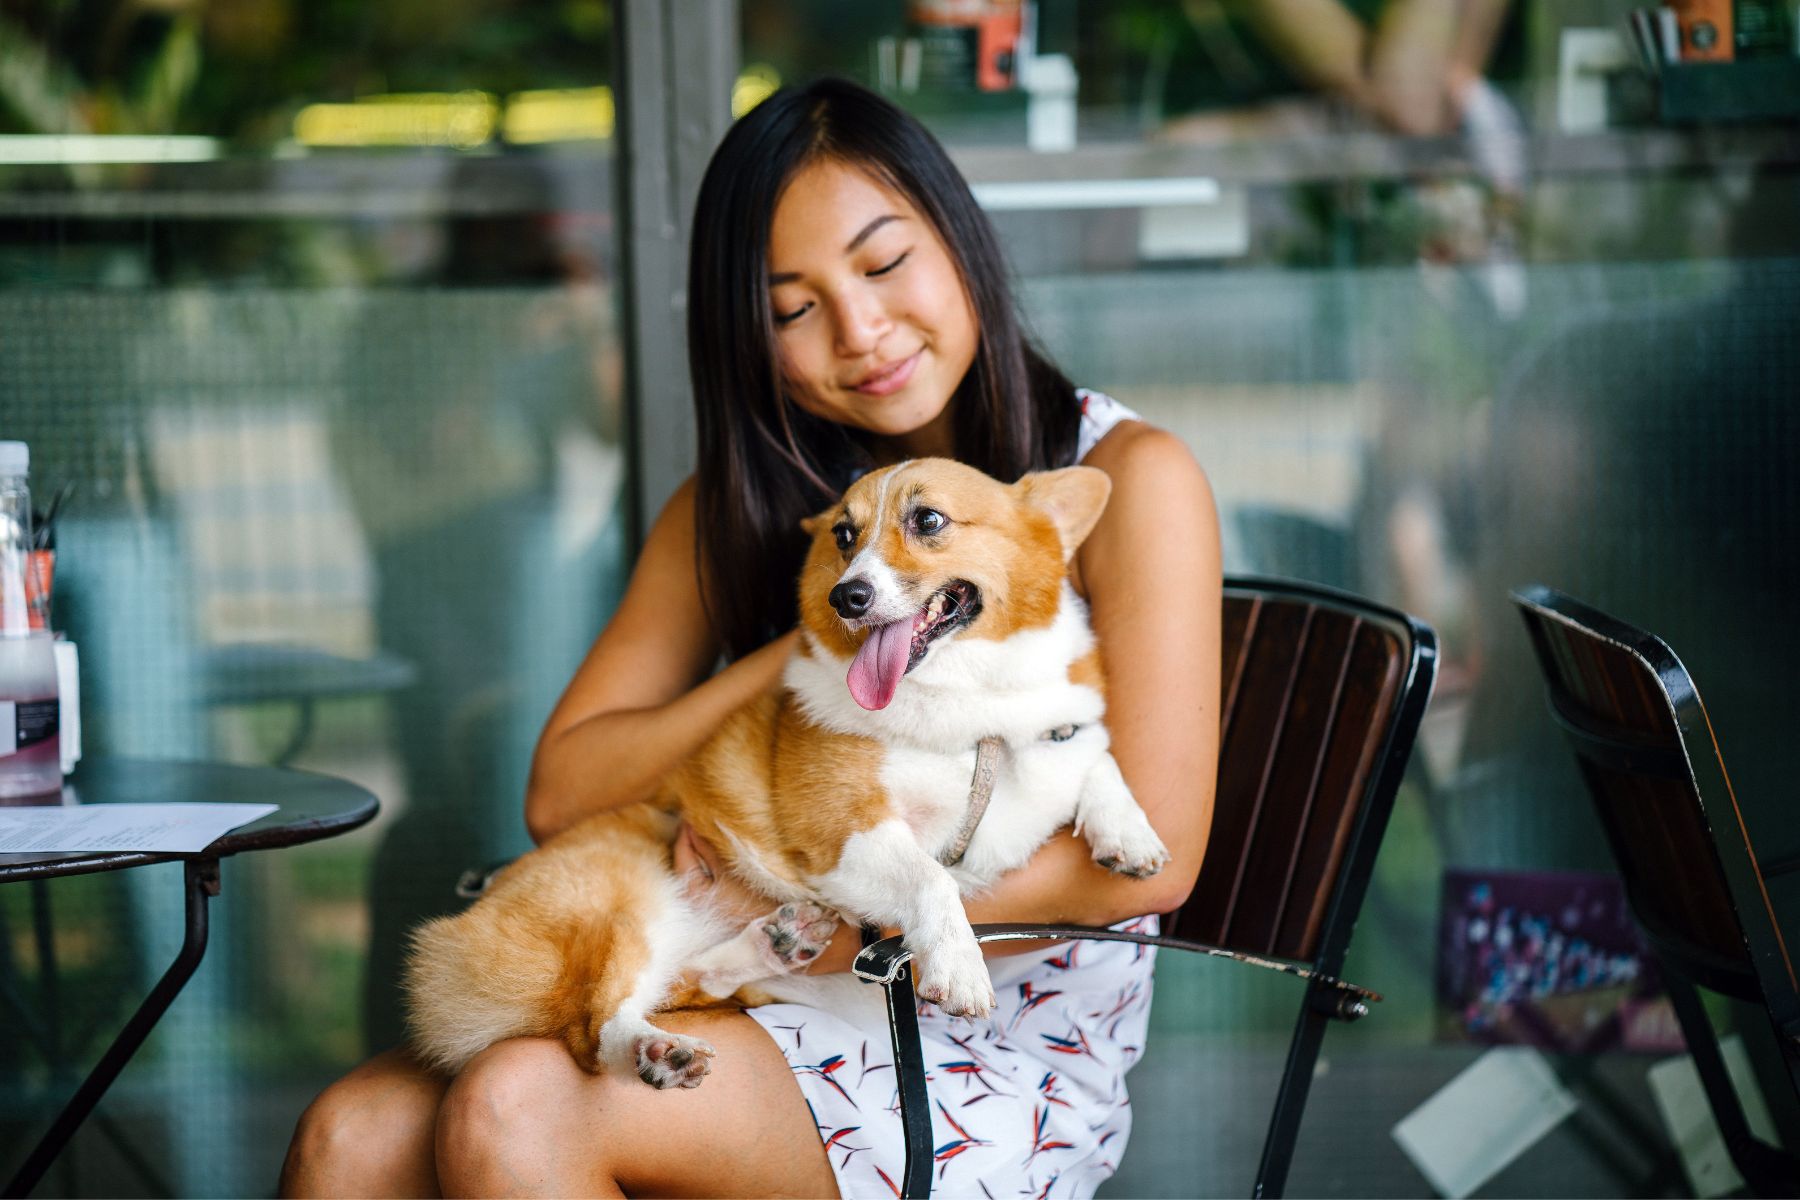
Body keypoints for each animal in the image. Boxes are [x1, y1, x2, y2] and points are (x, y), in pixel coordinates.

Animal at [401, 456, 1173, 1086]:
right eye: (843, 536)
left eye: (928, 520)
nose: (847, 597)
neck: (972, 712)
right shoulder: (846, 835)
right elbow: (929, 878)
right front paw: (958, 966)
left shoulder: (1052, 737)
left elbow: (1096, 755)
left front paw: (1129, 834)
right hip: (618, 897)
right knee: (592, 1029)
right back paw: (656, 1051)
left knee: (686, 981)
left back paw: (771, 946)